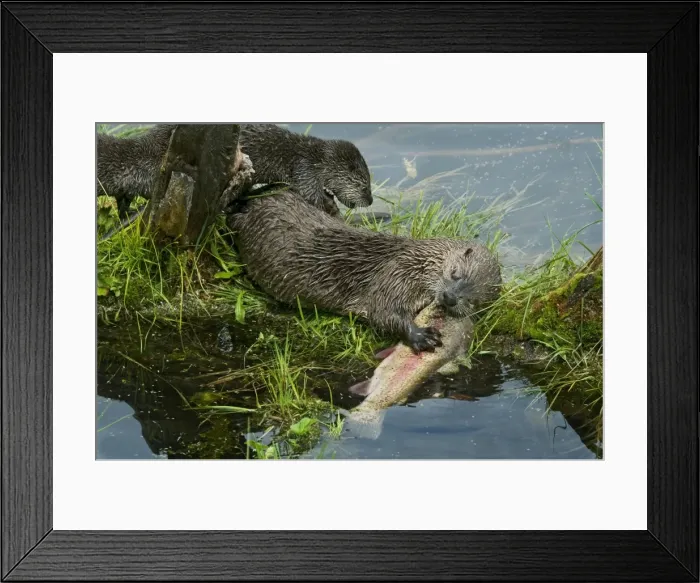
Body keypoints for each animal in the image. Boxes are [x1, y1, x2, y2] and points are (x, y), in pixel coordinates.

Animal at [226, 189, 502, 353]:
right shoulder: (395, 275)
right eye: (455, 273)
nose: (450, 297)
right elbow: (382, 312)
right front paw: (421, 335)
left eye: (473, 300)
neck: (417, 261)